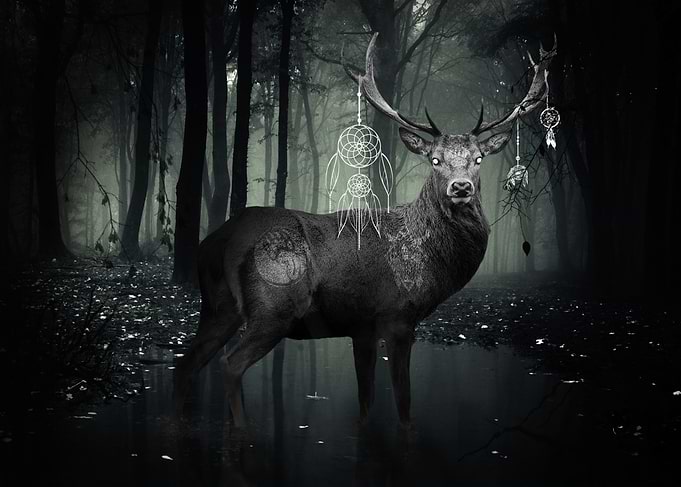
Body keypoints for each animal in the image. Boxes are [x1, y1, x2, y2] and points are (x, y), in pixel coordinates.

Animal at [175, 33, 556, 428]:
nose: (461, 187)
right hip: (273, 307)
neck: (427, 263)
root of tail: (218, 242)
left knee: (186, 363)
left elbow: (366, 401)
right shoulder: (397, 316)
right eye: (434, 159)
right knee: (230, 364)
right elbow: (403, 404)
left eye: (478, 158)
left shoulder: (362, 327)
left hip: (217, 308)